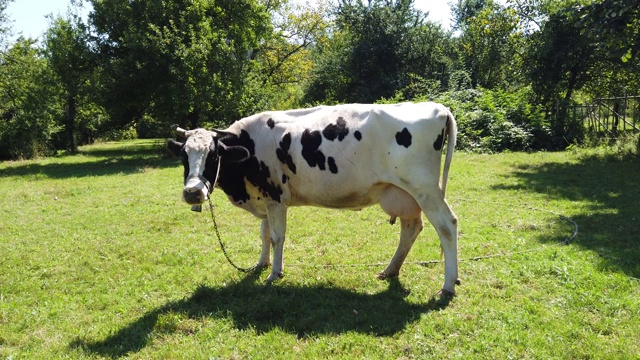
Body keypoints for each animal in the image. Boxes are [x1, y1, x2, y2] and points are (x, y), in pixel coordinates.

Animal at [166, 101, 460, 296]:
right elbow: (264, 235)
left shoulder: (276, 197)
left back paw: (447, 285)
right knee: (411, 228)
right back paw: (390, 270)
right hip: (406, 194)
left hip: (426, 189)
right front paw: (261, 263)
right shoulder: (265, 198)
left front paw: (274, 273)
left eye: (214, 155)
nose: (193, 192)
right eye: (183, 156)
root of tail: (436, 107)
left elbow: (277, 237)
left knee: (447, 226)